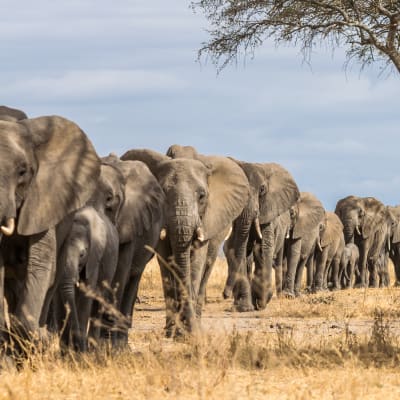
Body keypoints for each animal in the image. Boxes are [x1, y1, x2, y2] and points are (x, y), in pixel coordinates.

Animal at [0, 115, 99, 350]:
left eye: (22, 171)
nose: (48, 335)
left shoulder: (45, 200)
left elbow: (41, 262)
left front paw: (41, 338)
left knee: (52, 280)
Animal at [56, 205, 119, 352]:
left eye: (82, 254)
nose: (77, 346)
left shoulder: (94, 257)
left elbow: (86, 295)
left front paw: (81, 351)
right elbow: (59, 298)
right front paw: (64, 352)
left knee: (98, 300)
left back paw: (93, 347)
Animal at [121, 148, 250, 338]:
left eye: (202, 196)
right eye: (162, 194)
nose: (188, 331)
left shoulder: (207, 219)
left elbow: (196, 262)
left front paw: (189, 332)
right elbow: (167, 263)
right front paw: (173, 332)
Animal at [222, 161, 300, 310]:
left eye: (262, 189)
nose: (225, 295)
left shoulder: (268, 212)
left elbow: (264, 247)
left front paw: (260, 300)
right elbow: (239, 249)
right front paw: (245, 307)